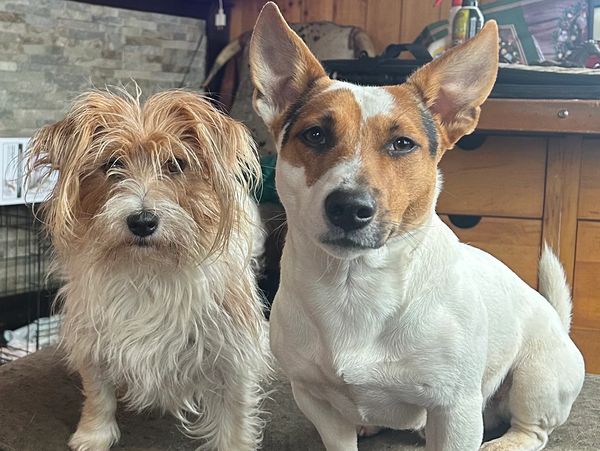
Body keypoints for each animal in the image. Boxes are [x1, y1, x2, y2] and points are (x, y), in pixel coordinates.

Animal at [28, 88, 270, 451]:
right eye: (112, 163)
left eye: (176, 164)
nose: (142, 221)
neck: (148, 270)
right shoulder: (93, 339)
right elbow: (98, 395)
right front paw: (93, 435)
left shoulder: (233, 353)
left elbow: (233, 416)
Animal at [249, 3, 585, 451]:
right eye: (315, 134)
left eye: (403, 144)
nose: (349, 208)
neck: (354, 285)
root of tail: (559, 324)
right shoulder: (313, 399)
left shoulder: (455, 408)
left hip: (537, 376)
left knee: (531, 429)